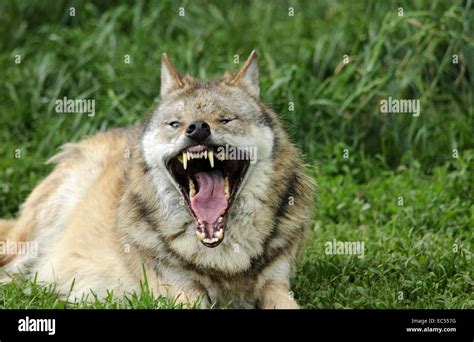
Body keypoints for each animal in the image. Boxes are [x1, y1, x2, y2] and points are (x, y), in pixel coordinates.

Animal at [1, 51, 316, 310]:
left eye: (226, 119)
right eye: (175, 124)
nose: (197, 128)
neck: (223, 256)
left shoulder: (276, 285)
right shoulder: (182, 291)